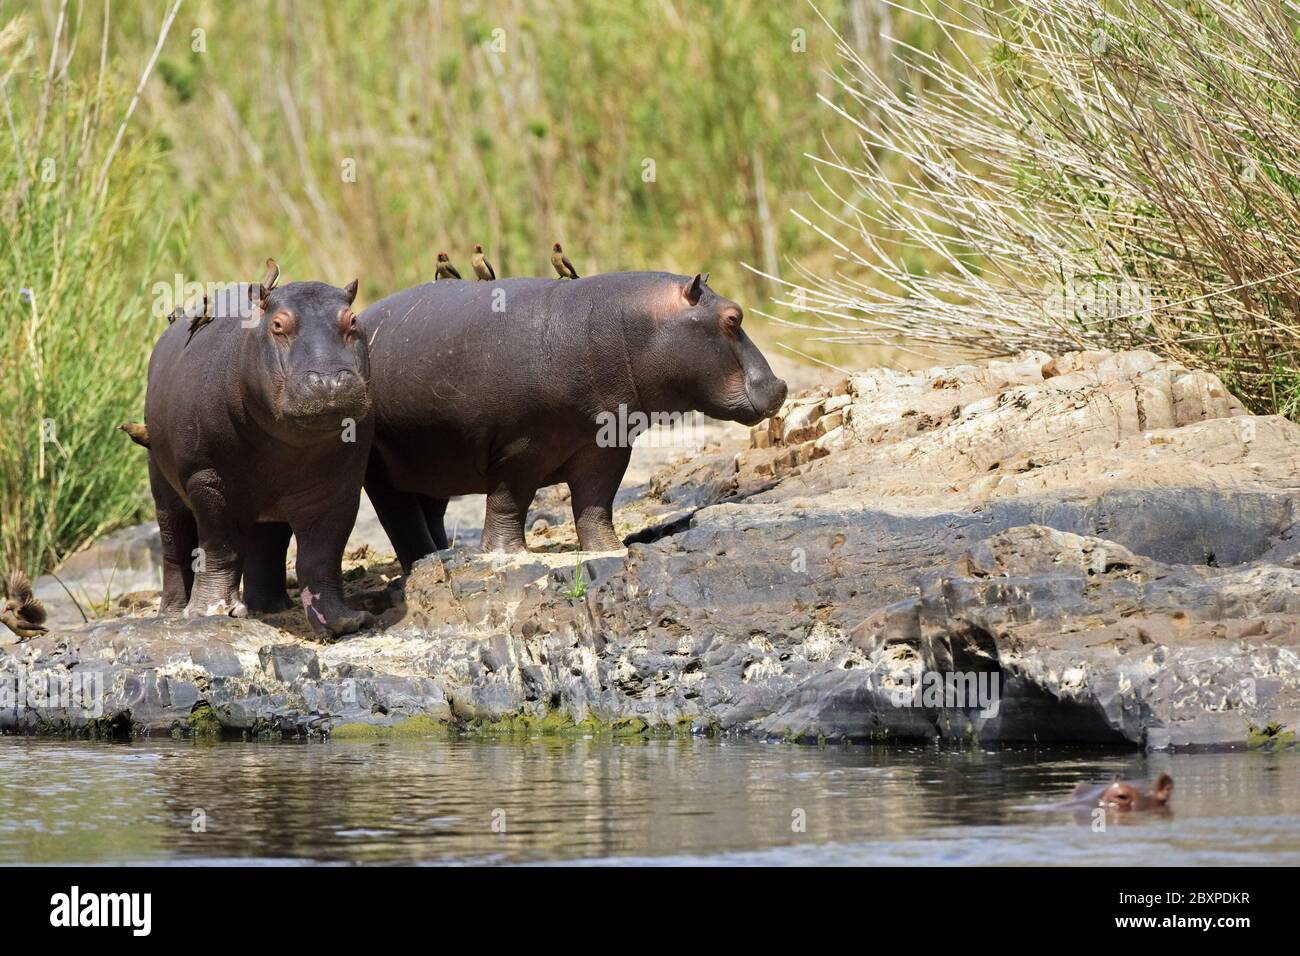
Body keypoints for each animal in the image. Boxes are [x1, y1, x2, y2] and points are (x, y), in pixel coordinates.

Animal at [143, 273, 377, 639]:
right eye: (278, 324)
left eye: (352, 320)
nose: (329, 381)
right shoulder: (207, 480)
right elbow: (219, 547)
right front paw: (209, 613)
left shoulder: (340, 487)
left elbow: (322, 554)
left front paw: (343, 621)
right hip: (164, 483)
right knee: (174, 544)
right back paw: (173, 614)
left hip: (268, 504)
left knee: (267, 544)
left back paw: (267, 608)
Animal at [351, 270, 785, 567]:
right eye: (733, 318)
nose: (780, 385)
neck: (630, 327)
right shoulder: (520, 448)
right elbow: (509, 500)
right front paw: (507, 554)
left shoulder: (606, 446)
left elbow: (596, 502)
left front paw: (611, 550)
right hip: (381, 468)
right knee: (401, 519)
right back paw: (424, 561)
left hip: (432, 464)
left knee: (431, 511)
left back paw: (442, 553)